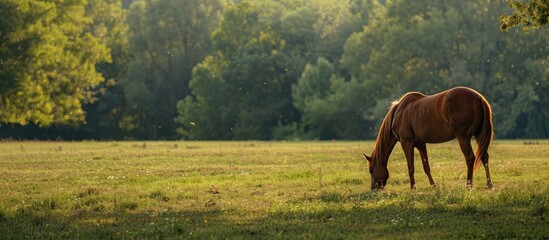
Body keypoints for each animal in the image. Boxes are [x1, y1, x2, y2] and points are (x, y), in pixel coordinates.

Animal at [364, 86, 492, 189]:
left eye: (371, 170)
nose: (373, 189)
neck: (399, 112)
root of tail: (479, 98)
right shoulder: (420, 144)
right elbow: (426, 167)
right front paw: (433, 185)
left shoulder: (406, 142)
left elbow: (410, 167)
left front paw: (413, 188)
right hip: (479, 135)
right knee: (484, 156)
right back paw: (489, 184)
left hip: (463, 138)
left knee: (470, 158)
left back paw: (468, 185)